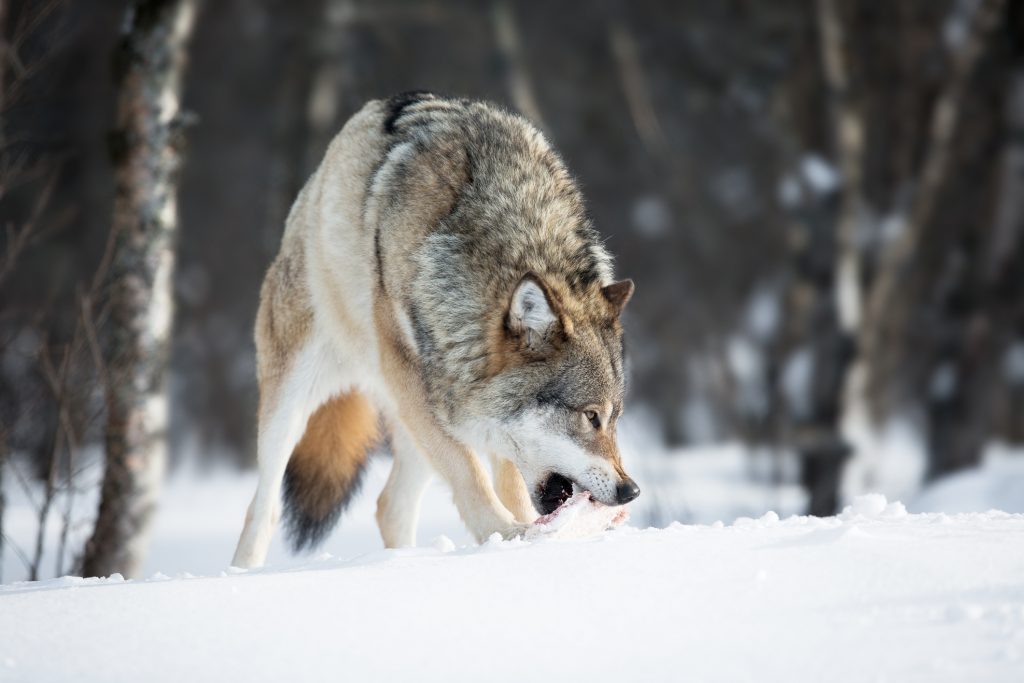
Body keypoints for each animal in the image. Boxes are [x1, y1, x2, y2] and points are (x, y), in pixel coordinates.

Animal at [232, 92, 640, 568]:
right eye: (591, 416)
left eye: (615, 418)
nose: (631, 490)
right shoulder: (418, 387)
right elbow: (471, 475)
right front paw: (508, 536)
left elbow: (509, 477)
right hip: (299, 402)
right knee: (262, 510)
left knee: (390, 506)